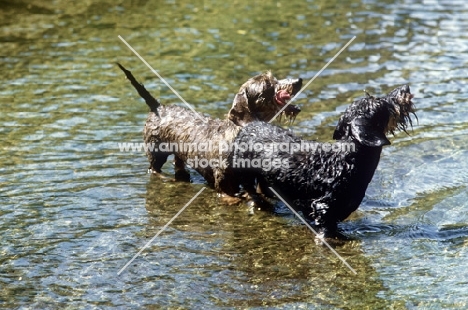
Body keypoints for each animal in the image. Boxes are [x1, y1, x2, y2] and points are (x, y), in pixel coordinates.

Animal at [229, 86, 414, 236]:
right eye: (379, 103)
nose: (405, 88)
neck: (345, 163)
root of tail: (250, 125)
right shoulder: (323, 209)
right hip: (244, 171)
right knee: (250, 190)